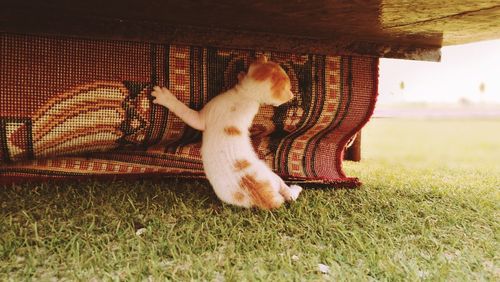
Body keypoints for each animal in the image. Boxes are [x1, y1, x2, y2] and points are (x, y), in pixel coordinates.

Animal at [150, 56, 302, 209]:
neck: (246, 95)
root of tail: (269, 199)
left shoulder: (202, 116)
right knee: (288, 194)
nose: (293, 94)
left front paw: (165, 98)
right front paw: (241, 76)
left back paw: (295, 189)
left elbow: (184, 111)